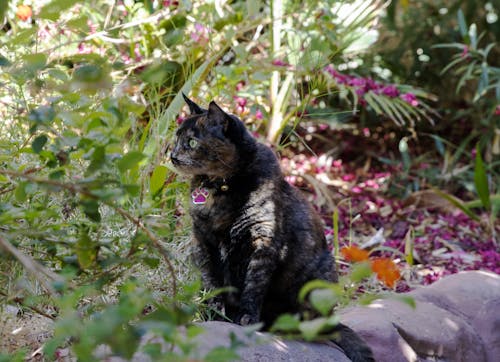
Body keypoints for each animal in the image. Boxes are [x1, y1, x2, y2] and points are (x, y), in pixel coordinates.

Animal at [170, 95, 374, 362]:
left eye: (192, 142)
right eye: (176, 138)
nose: (172, 155)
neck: (221, 190)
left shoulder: (263, 242)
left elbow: (253, 285)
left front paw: (246, 319)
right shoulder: (203, 243)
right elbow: (212, 284)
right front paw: (212, 316)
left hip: (318, 281)